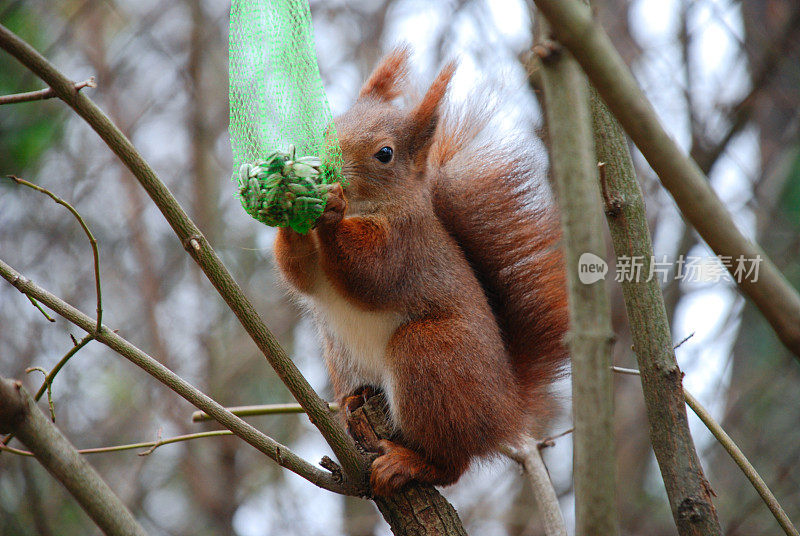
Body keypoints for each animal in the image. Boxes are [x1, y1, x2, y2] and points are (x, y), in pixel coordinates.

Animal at [276, 48, 568, 496]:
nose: (327, 167)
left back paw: (410, 464)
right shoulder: (314, 270)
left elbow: (370, 272)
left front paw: (331, 211)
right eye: (329, 128)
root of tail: (506, 410)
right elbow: (299, 273)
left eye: (384, 154)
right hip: (341, 353)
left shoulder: (405, 245)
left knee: (452, 464)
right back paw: (354, 400)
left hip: (430, 356)